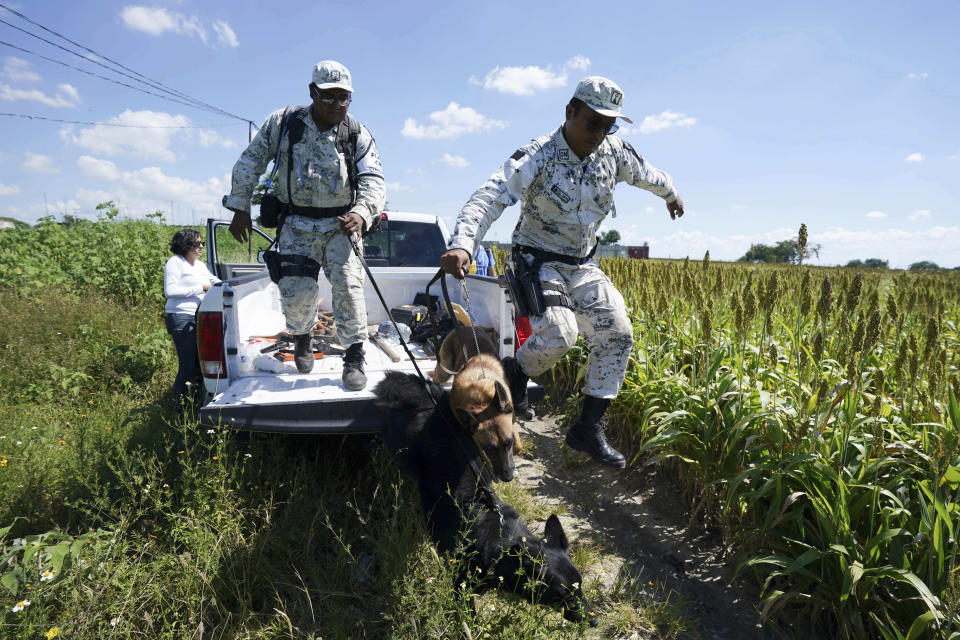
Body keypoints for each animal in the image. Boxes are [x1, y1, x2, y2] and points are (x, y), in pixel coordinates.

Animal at [372, 370, 596, 624]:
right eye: (562, 594)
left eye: (581, 587)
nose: (595, 621)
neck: (501, 540)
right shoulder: (460, 585)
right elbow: (467, 617)